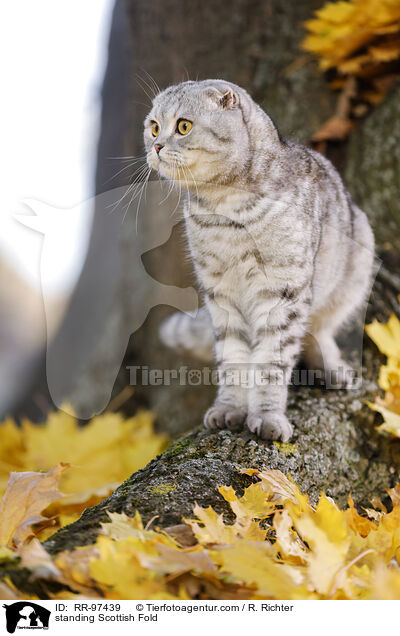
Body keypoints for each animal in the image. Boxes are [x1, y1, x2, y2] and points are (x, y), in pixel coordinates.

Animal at [144, 79, 376, 442]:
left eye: (183, 126)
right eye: (154, 126)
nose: (155, 145)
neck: (224, 208)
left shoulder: (283, 291)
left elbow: (271, 361)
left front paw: (267, 416)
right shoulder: (220, 293)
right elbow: (233, 357)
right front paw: (230, 408)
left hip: (354, 270)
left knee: (319, 331)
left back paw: (331, 369)